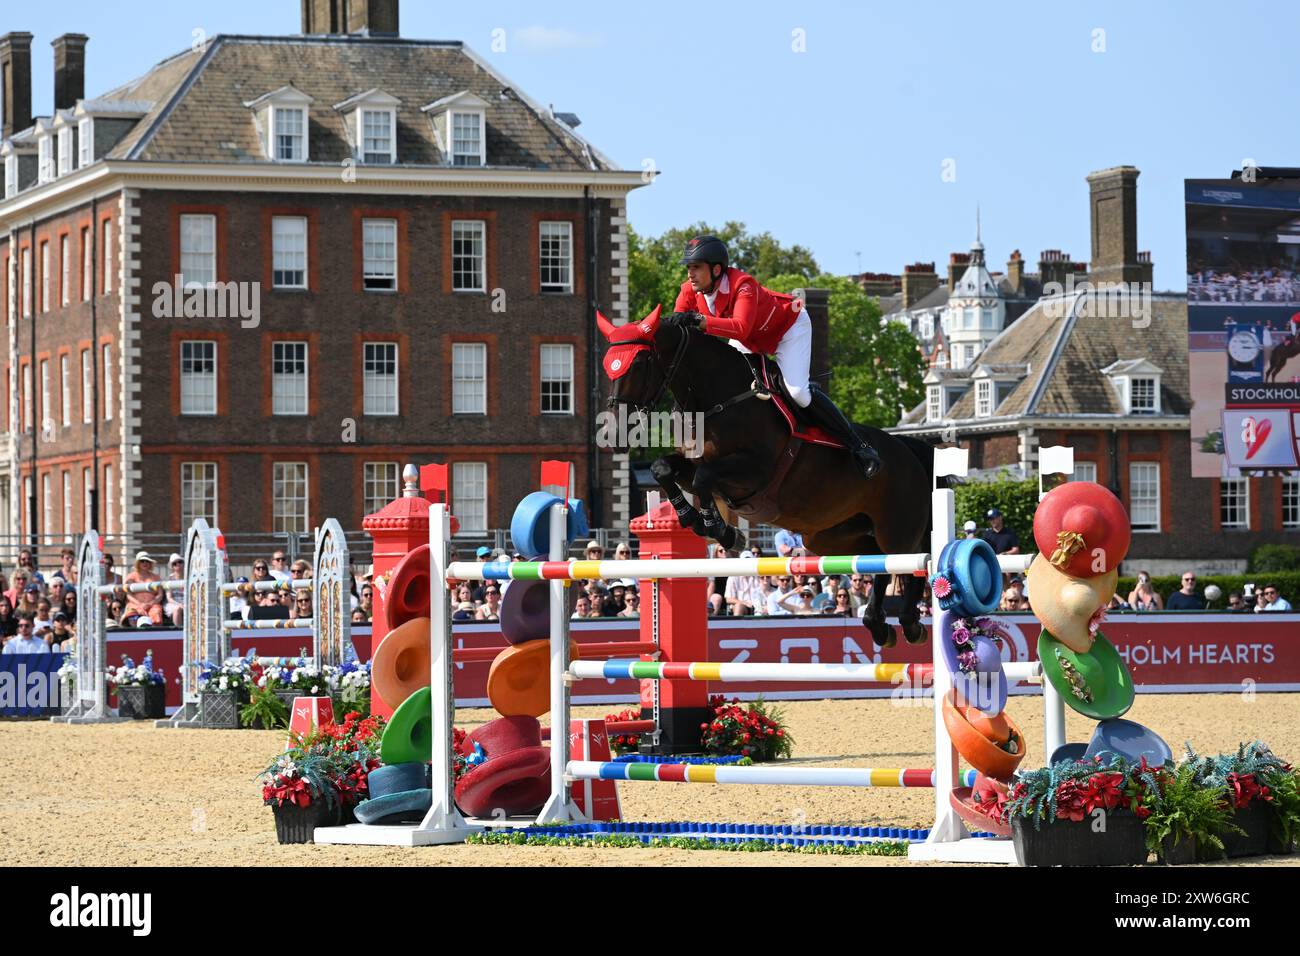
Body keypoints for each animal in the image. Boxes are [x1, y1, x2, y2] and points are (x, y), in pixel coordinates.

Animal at [595, 306, 941, 650]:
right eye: (608, 367)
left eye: (638, 363)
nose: (613, 436)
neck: (716, 401)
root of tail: (908, 449)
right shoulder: (694, 465)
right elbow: (663, 468)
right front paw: (696, 520)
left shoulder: (754, 471)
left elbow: (705, 478)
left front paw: (720, 529)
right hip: (832, 535)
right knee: (877, 560)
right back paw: (880, 623)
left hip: (895, 526)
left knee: (905, 561)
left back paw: (908, 622)